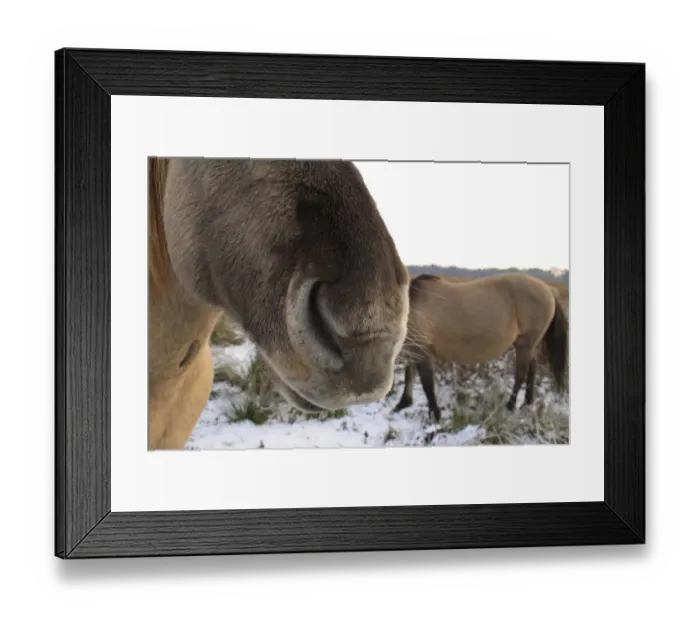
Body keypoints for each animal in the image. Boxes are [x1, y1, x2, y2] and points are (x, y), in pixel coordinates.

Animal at [392, 272, 568, 422]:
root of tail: (548, 289)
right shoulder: (413, 350)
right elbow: (409, 376)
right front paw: (402, 404)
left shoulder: (422, 351)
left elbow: (426, 383)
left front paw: (435, 414)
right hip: (530, 345)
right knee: (532, 368)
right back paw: (527, 403)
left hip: (525, 343)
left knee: (521, 373)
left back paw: (510, 406)